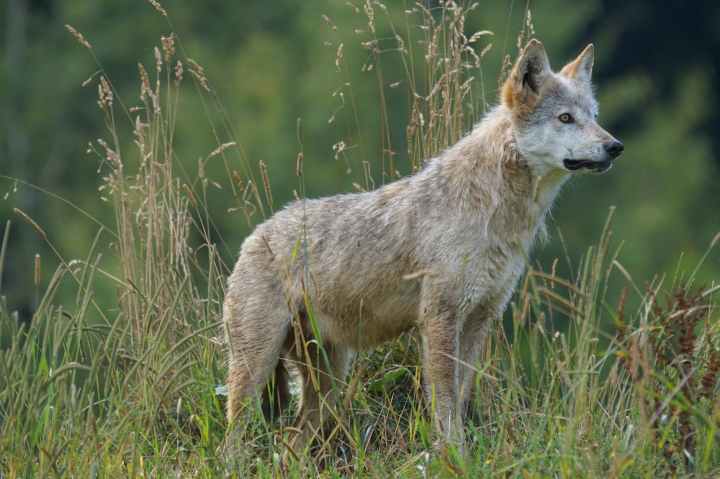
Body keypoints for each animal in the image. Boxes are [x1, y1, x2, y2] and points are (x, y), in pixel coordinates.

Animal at [223, 39, 623, 455]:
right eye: (565, 118)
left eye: (594, 116)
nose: (615, 146)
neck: (496, 213)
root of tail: (255, 236)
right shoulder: (440, 319)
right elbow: (445, 406)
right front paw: (452, 457)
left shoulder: (479, 320)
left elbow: (459, 399)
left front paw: (458, 456)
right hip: (258, 370)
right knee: (232, 441)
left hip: (328, 382)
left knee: (290, 443)